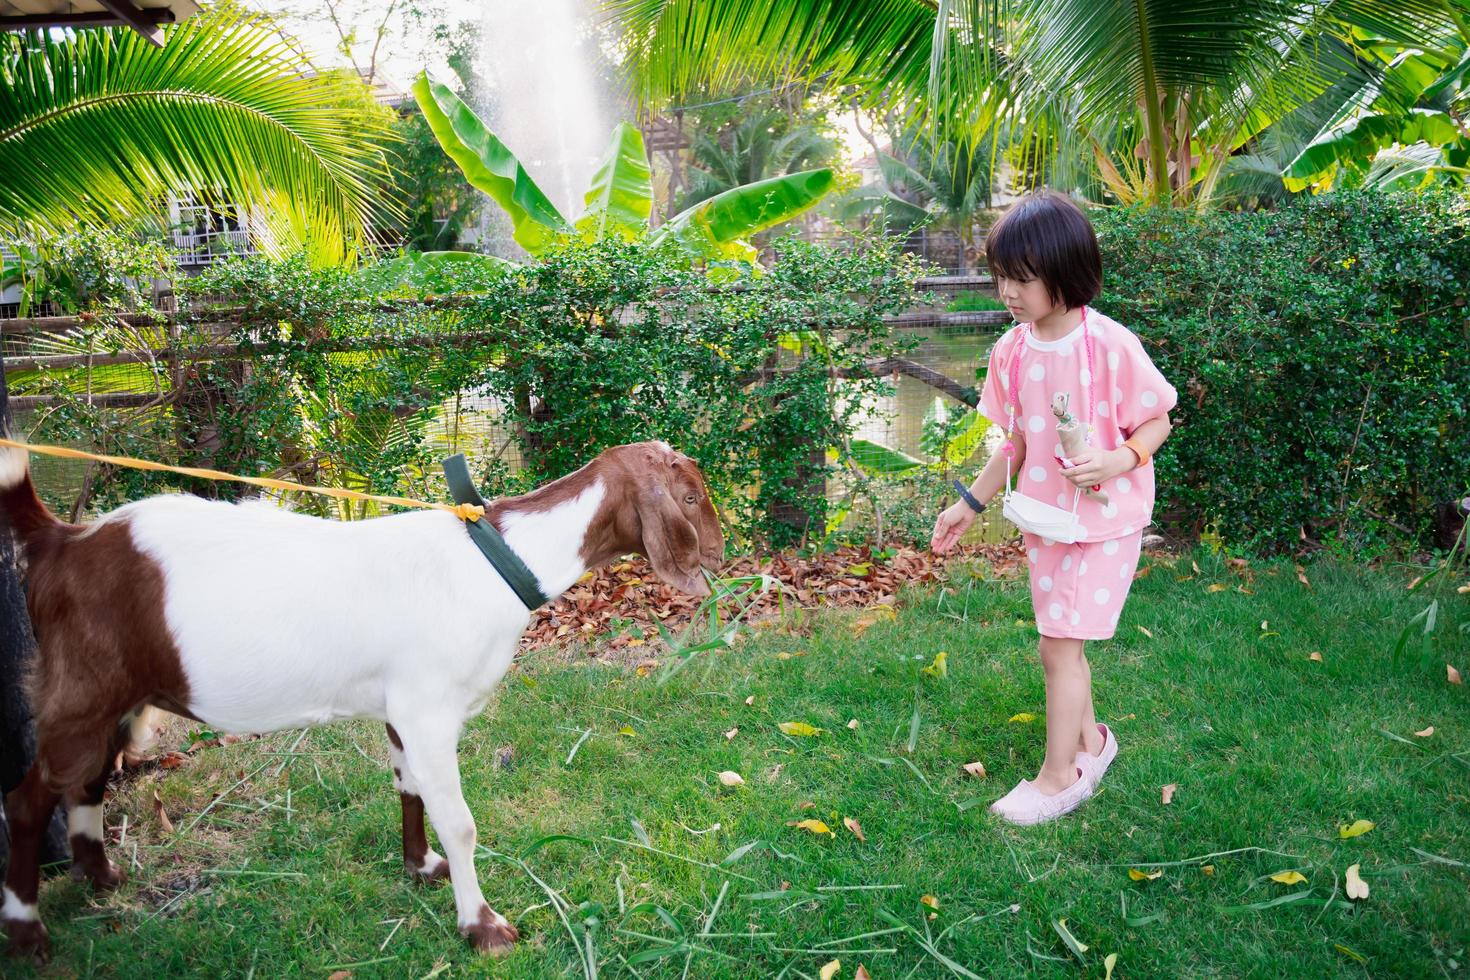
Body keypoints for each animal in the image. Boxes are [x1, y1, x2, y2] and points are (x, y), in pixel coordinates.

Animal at [0, 443, 723, 957]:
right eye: (690, 495)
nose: (720, 553)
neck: (493, 560)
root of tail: (61, 541)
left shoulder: (401, 708)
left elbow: (408, 786)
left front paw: (421, 866)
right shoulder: (430, 709)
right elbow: (460, 819)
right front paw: (483, 926)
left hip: (117, 697)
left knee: (89, 779)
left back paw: (101, 877)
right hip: (82, 689)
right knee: (31, 798)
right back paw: (28, 930)